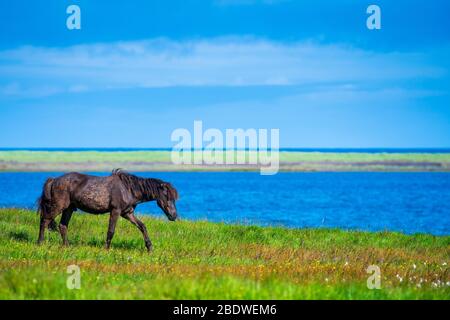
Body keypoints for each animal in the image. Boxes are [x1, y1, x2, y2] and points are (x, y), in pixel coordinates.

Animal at [36, 170, 179, 252]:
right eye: (167, 196)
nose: (174, 216)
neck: (128, 189)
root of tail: (54, 180)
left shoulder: (127, 213)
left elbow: (142, 226)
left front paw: (149, 248)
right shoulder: (115, 211)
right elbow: (111, 231)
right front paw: (106, 249)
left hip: (69, 208)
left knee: (62, 226)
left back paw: (67, 246)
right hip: (59, 206)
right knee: (44, 220)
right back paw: (40, 243)